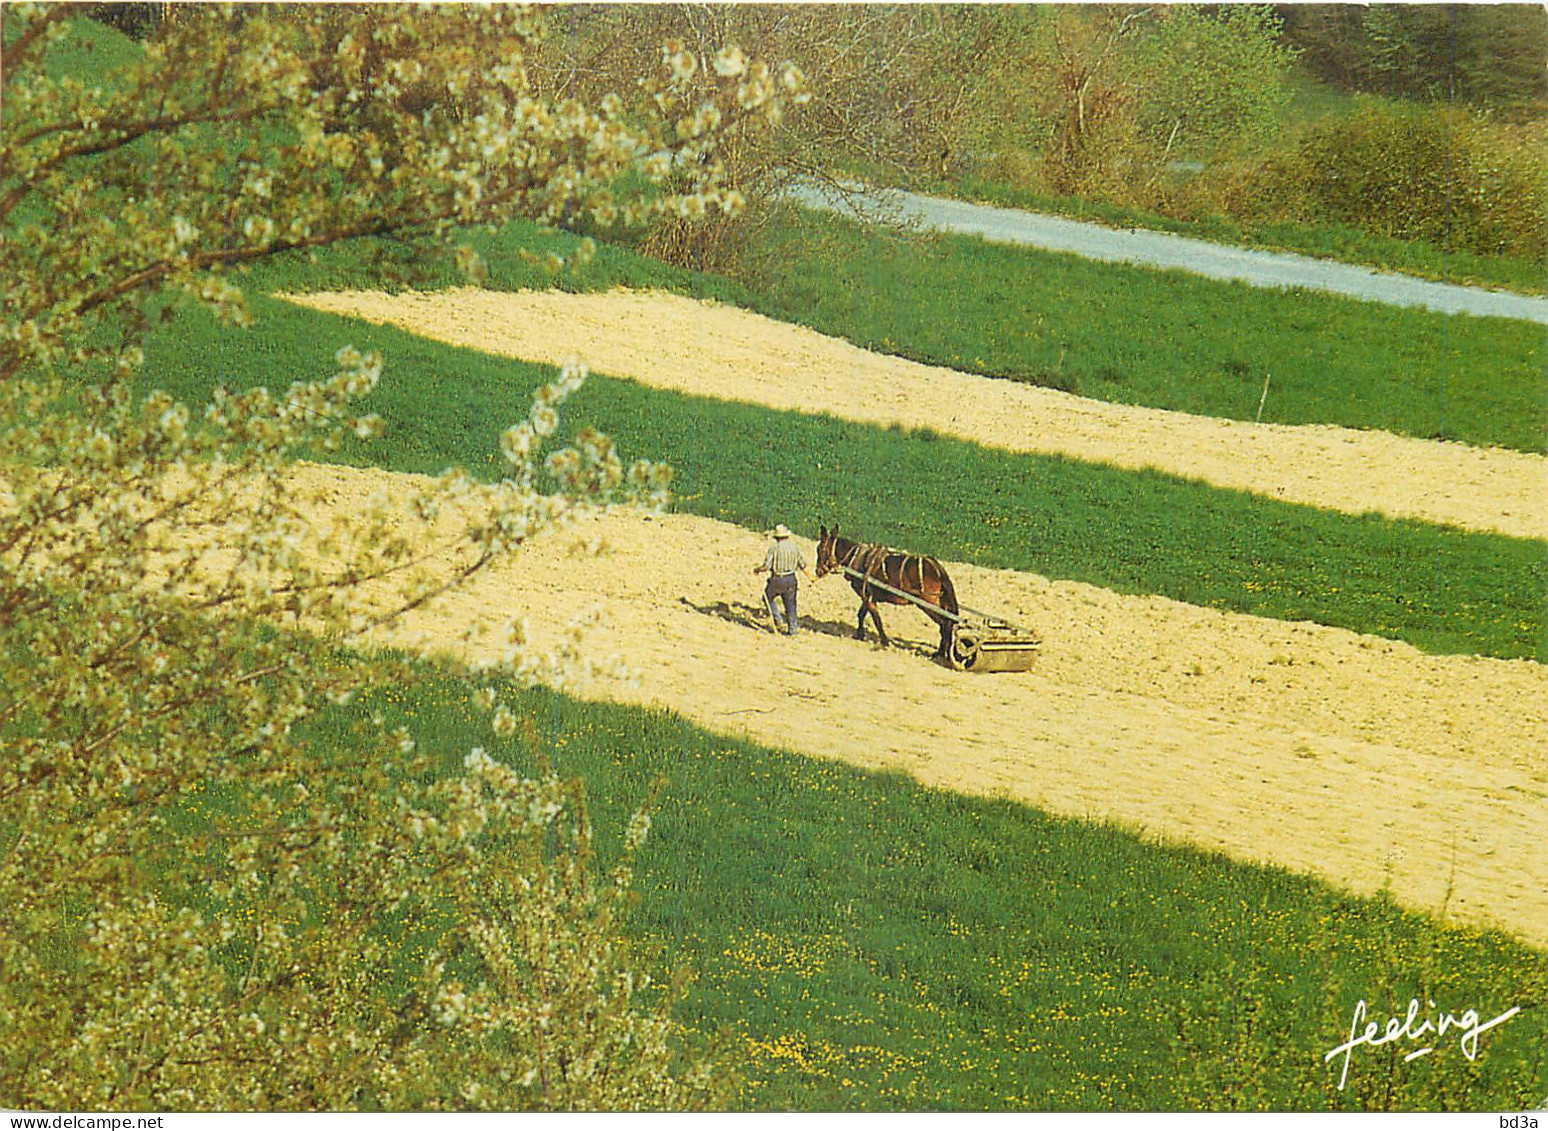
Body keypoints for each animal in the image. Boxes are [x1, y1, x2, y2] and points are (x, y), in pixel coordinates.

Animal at [811, 526, 953, 659]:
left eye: (820, 550)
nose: (818, 571)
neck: (857, 558)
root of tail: (937, 567)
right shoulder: (868, 596)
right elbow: (861, 615)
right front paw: (860, 635)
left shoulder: (867, 597)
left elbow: (876, 620)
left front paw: (884, 641)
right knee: (946, 624)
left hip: (929, 603)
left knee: (945, 624)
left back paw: (941, 653)